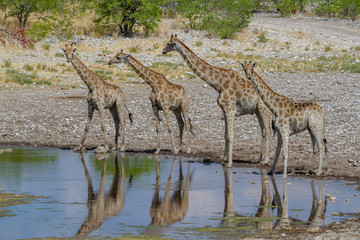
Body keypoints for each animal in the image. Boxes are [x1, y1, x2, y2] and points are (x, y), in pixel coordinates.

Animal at [162, 34, 272, 168]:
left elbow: (230, 136)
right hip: (257, 111)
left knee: (268, 131)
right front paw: (223, 160)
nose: (163, 51)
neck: (219, 84)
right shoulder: (225, 110)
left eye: (169, 43)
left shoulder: (230, 110)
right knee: (263, 131)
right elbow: (225, 136)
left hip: (263, 110)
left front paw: (229, 163)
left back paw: (266, 160)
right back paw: (260, 159)